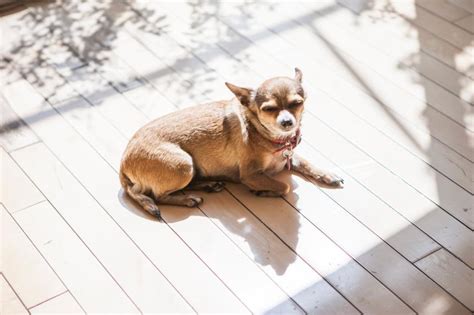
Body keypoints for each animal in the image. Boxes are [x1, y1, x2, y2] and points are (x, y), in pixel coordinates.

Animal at [120, 68, 344, 221]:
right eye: (268, 109)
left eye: (297, 103)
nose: (287, 122)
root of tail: (123, 163)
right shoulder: (251, 175)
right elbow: (285, 186)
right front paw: (264, 191)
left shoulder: (287, 157)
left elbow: (306, 163)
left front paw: (327, 174)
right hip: (183, 165)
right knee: (158, 195)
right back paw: (188, 199)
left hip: (190, 168)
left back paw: (208, 184)